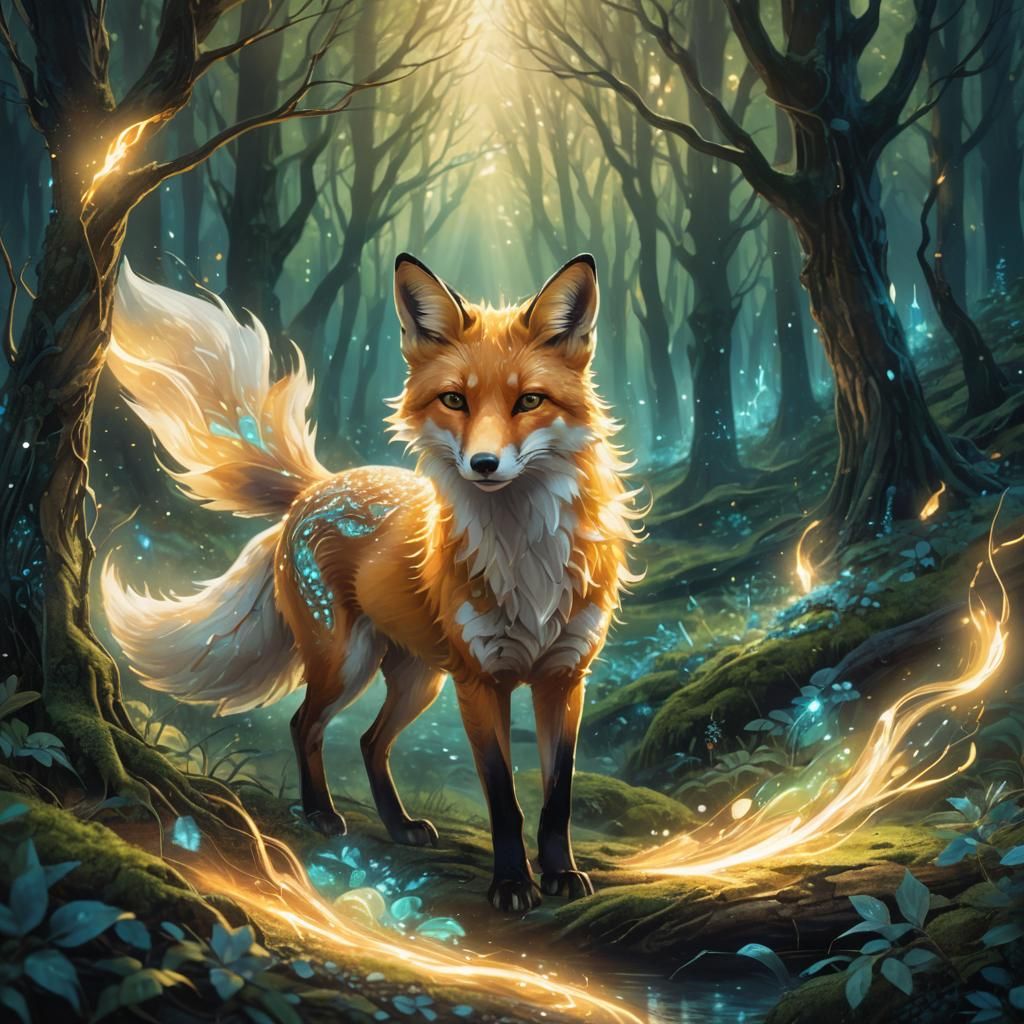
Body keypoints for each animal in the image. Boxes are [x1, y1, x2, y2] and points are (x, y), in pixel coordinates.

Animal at [101, 252, 641, 911]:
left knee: (369, 742)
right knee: (305, 724)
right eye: (454, 400)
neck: (524, 562)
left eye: (530, 401)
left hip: (419, 679)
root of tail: (318, 485)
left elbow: (557, 799)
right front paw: (512, 883)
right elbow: (504, 800)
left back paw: (399, 825)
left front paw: (561, 873)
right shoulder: (481, 682)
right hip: (349, 661)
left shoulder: (564, 677)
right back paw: (320, 814)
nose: (483, 465)